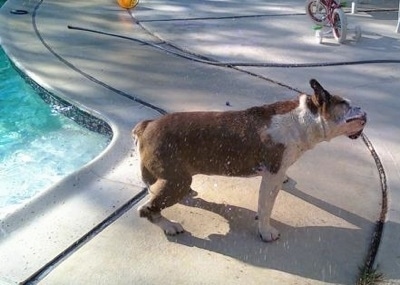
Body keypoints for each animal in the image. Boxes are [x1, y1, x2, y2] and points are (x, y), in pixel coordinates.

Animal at [133, 79, 368, 241]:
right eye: (345, 104)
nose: (365, 112)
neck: (302, 119)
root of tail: (147, 125)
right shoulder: (272, 176)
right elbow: (265, 207)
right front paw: (265, 231)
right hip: (177, 182)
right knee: (147, 209)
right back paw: (169, 226)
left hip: (175, 179)